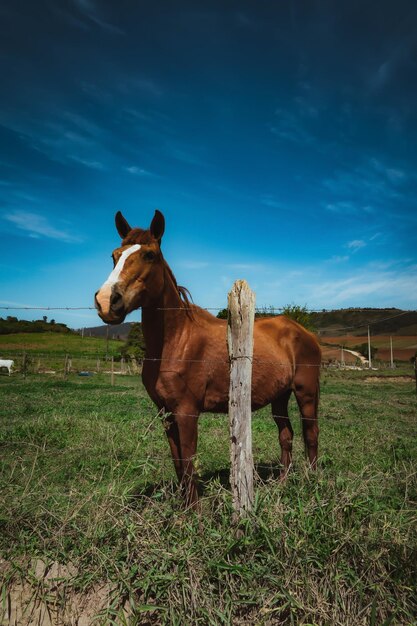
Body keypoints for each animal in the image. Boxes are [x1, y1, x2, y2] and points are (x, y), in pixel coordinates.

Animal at [95, 210, 322, 502]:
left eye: (149, 255)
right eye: (114, 255)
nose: (106, 302)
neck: (177, 341)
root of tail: (303, 332)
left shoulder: (186, 411)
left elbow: (189, 460)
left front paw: (194, 509)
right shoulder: (165, 412)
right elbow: (178, 461)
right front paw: (183, 507)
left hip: (306, 392)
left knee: (311, 434)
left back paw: (312, 482)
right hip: (280, 397)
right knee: (287, 435)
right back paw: (282, 483)